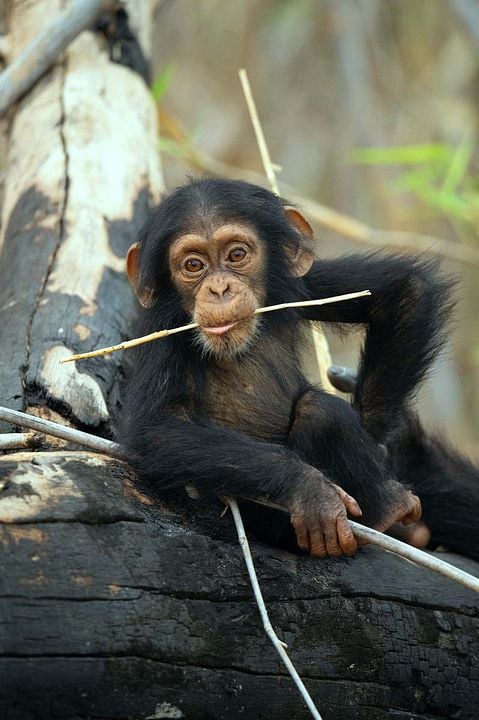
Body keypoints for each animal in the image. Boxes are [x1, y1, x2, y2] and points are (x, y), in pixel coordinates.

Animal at [120, 177, 479, 560]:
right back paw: (388, 512)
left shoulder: (304, 284)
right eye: (193, 265)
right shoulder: (162, 332)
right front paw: (308, 489)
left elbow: (401, 291)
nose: (219, 288)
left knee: (320, 411)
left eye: (236, 255)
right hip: (274, 525)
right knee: (321, 413)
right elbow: (159, 428)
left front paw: (377, 440)